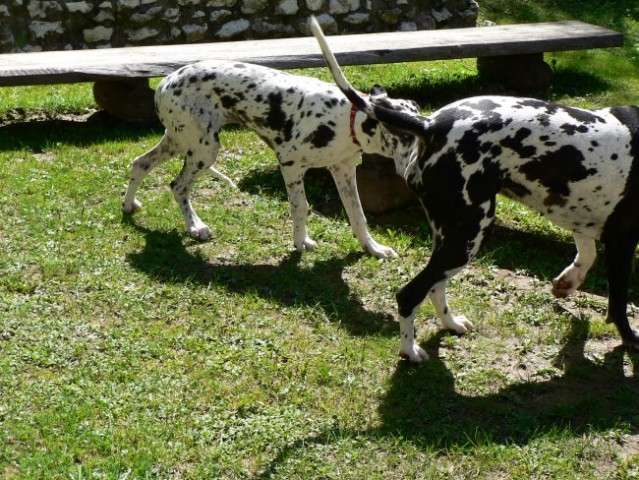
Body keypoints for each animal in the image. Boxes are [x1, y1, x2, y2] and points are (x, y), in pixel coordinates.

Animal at [123, 58, 420, 260]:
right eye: (405, 135)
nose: (416, 172)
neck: (344, 117)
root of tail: (164, 83)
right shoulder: (290, 165)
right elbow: (301, 207)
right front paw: (301, 242)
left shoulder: (343, 170)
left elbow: (357, 215)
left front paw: (373, 248)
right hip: (203, 150)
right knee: (178, 186)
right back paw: (195, 226)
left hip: (179, 142)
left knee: (140, 163)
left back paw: (129, 205)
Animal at [312, 15, 639, 362]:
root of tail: (429, 124)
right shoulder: (622, 241)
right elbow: (618, 302)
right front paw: (630, 337)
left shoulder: (584, 214)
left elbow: (587, 253)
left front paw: (568, 281)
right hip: (468, 235)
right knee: (410, 294)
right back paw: (410, 351)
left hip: (450, 238)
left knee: (434, 287)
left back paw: (450, 323)